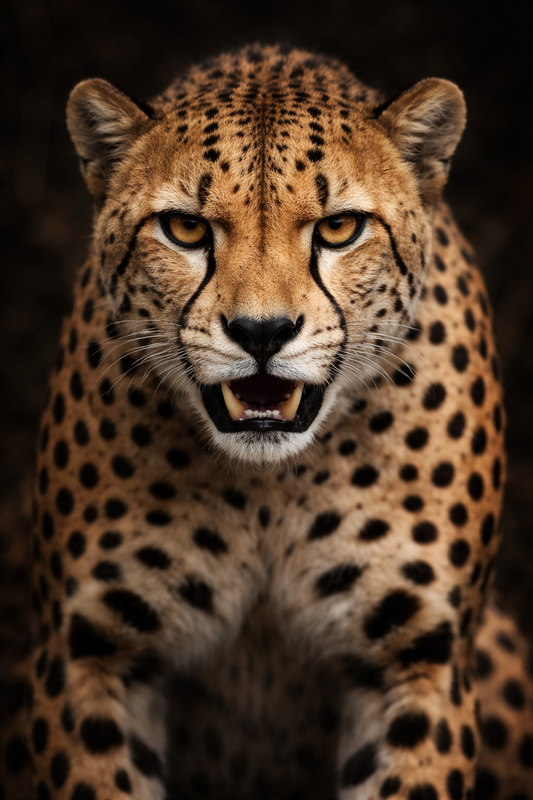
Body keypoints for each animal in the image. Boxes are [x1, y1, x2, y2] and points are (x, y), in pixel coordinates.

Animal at [1, 43, 533, 800]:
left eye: (339, 228)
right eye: (185, 228)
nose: (261, 332)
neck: (267, 488)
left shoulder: (418, 661)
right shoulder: (91, 655)